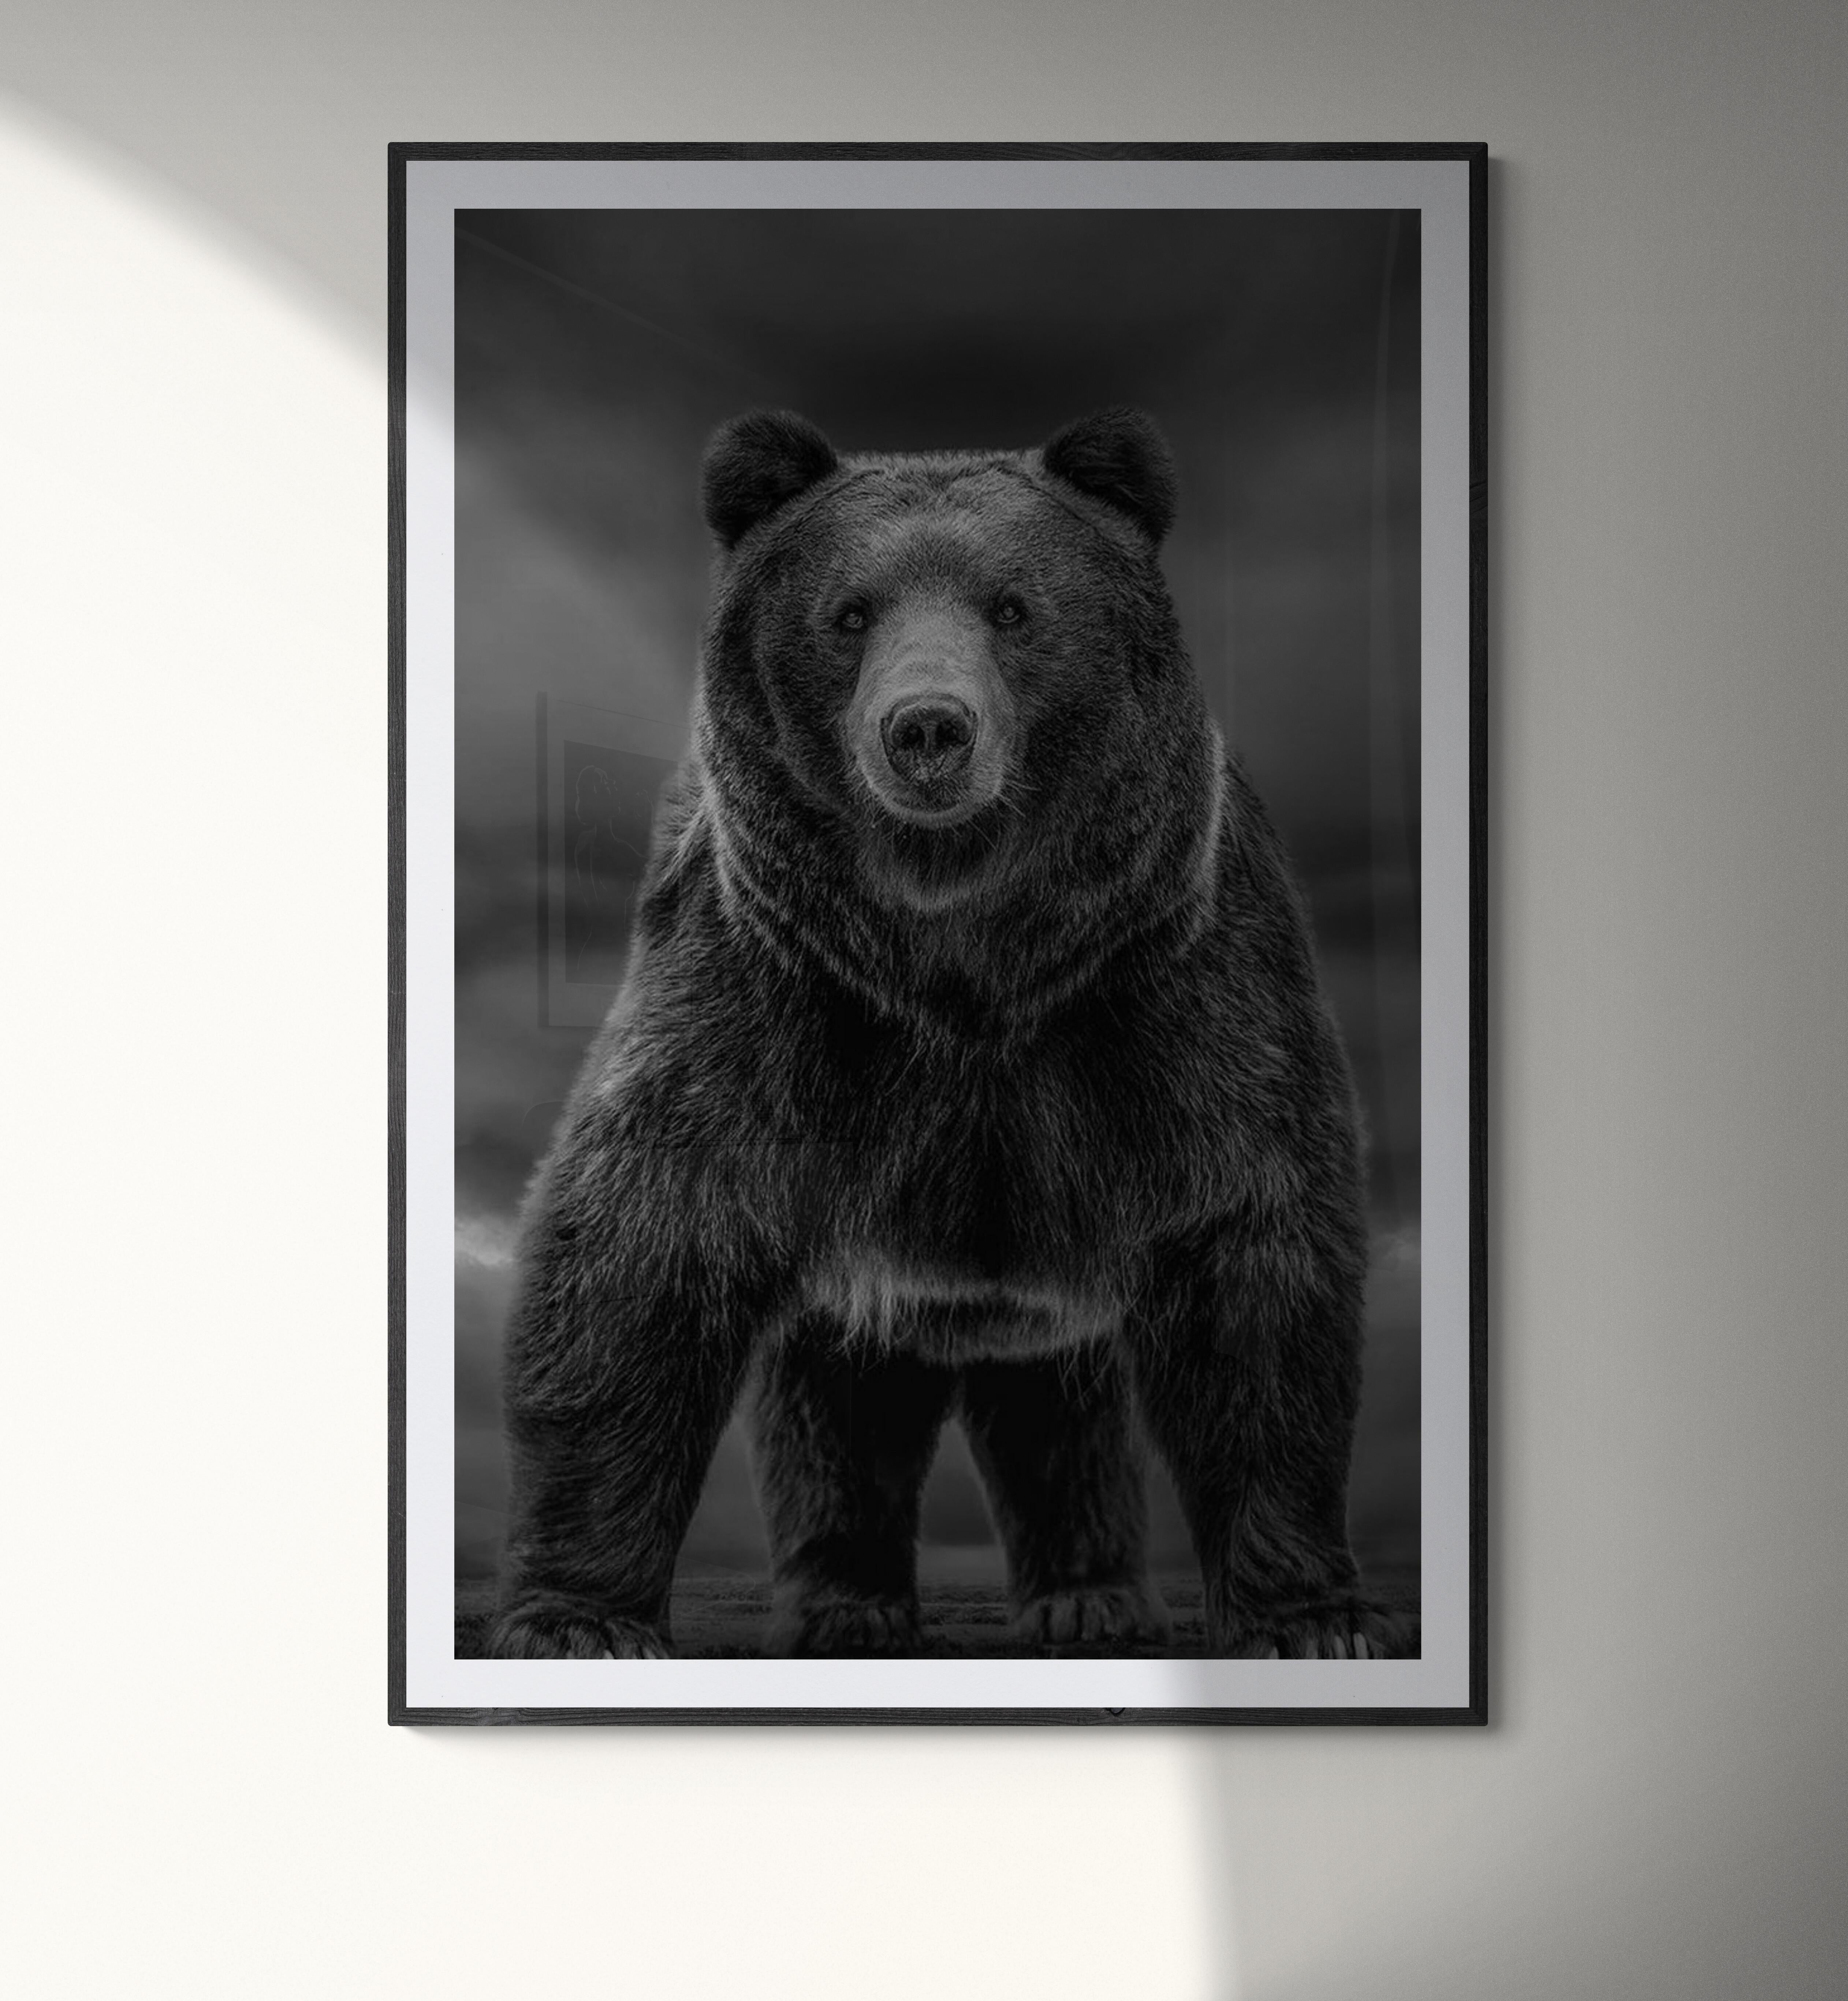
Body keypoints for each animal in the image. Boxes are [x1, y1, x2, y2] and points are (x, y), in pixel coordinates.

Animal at [489, 406, 1405, 1661]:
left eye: (1013, 607)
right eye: (848, 611)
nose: (927, 727)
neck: (963, 957)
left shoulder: (1168, 992)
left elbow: (1251, 1259)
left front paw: (1312, 1621)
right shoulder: (772, 996)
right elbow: (641, 1246)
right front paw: (580, 1623)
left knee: (1056, 1399)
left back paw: (1090, 1597)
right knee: (838, 1405)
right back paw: (848, 1605)